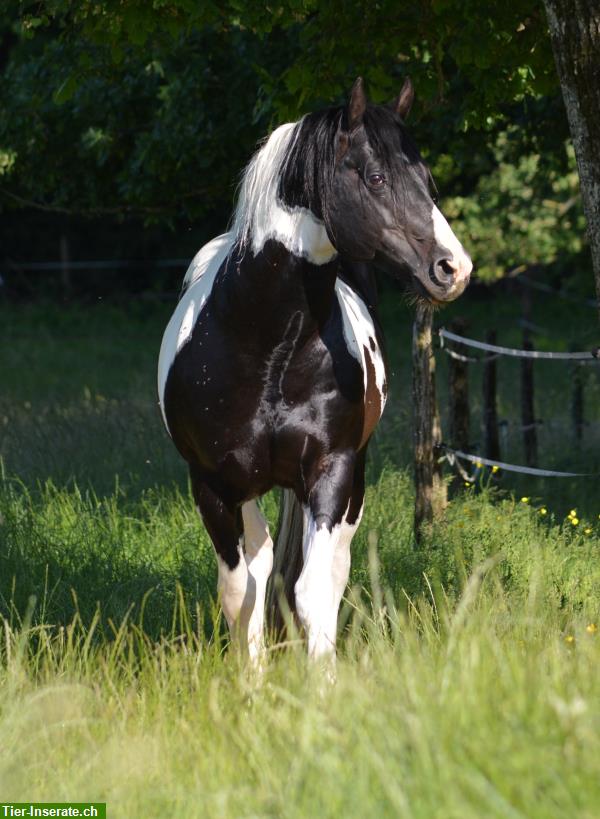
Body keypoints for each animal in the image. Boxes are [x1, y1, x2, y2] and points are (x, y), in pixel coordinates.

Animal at [157, 77, 471, 665]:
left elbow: (313, 590)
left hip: (345, 483)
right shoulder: (212, 484)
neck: (269, 352)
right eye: (376, 177)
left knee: (326, 568)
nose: (453, 268)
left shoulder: (331, 470)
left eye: (427, 181)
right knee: (259, 566)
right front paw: (251, 682)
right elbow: (239, 592)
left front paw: (320, 681)